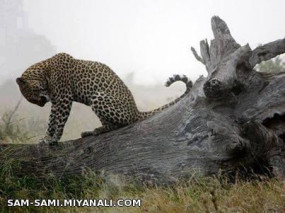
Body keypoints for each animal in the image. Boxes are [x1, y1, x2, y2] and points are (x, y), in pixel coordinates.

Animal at [16, 52, 192, 144]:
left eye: (32, 98)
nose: (40, 105)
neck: (44, 72)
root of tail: (136, 110)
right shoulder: (55, 102)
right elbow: (51, 120)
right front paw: (46, 138)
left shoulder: (63, 99)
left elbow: (59, 121)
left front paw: (54, 139)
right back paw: (91, 131)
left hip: (98, 97)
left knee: (119, 125)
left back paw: (97, 130)